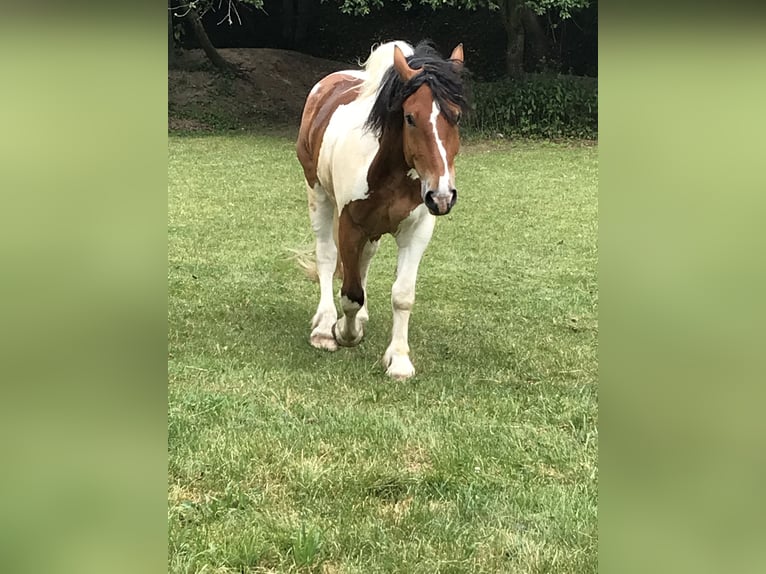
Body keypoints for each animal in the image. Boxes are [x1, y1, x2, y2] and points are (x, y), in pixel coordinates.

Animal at [296, 41, 468, 382]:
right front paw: (344, 332)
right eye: (410, 118)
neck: (387, 171)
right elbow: (350, 293)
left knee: (364, 259)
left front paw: (399, 359)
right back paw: (324, 326)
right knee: (327, 257)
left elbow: (402, 295)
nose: (442, 196)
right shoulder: (349, 225)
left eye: (455, 116)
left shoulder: (417, 231)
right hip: (317, 194)